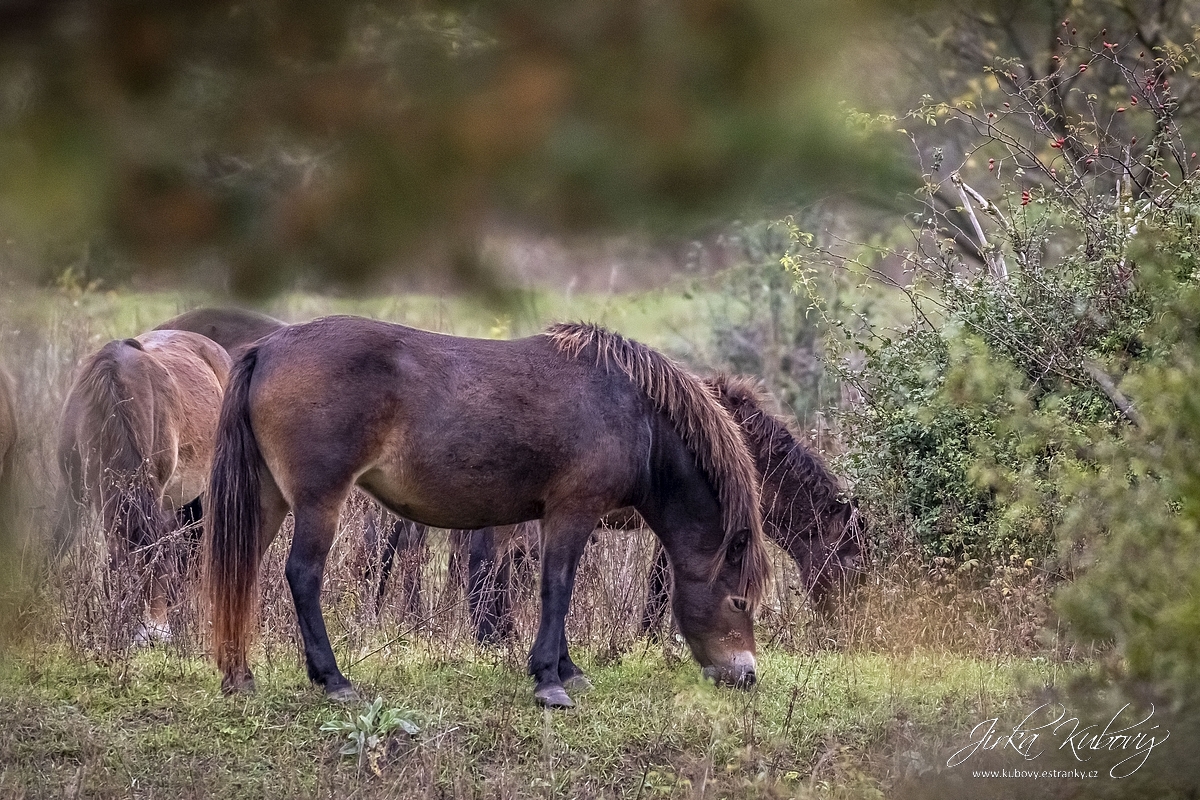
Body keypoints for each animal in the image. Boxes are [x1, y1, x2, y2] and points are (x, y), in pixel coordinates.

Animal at [206, 316, 768, 705]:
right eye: (739, 600)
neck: (632, 411)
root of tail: (267, 348)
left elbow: (554, 589)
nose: (746, 675)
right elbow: (557, 588)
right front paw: (549, 681)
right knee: (302, 574)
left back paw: (239, 677)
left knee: (244, 569)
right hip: (319, 499)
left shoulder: (550, 517)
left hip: (269, 497)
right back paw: (334, 680)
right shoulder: (573, 510)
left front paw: (567, 670)